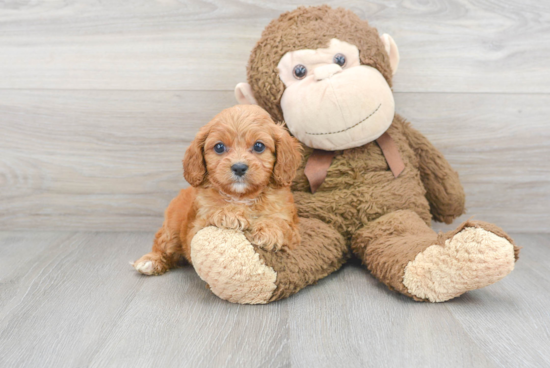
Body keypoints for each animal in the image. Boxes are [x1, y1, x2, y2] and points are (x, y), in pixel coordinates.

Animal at [135, 105, 304, 274]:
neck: (242, 197)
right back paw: (150, 261)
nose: (239, 167)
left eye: (259, 146)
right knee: (163, 242)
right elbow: (213, 212)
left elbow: (282, 223)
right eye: (219, 147)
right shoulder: (196, 227)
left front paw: (270, 231)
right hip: (172, 227)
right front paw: (230, 214)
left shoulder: (290, 222)